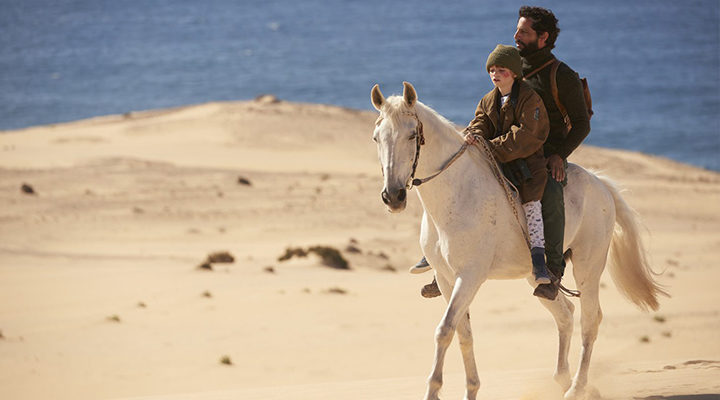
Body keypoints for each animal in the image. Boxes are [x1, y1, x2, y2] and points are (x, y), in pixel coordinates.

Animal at [372, 82, 668, 400]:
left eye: (412, 135)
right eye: (377, 138)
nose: (393, 197)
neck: (457, 192)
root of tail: (601, 184)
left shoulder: (470, 276)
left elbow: (445, 330)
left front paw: (434, 390)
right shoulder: (445, 277)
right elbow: (463, 333)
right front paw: (471, 389)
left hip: (588, 268)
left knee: (590, 321)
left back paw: (576, 388)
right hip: (537, 277)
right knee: (565, 314)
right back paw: (563, 379)